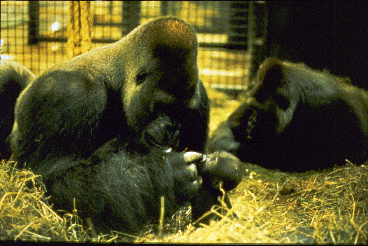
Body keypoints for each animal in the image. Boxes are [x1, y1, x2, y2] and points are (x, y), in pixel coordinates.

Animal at [8, 17, 243, 234]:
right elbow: (52, 182)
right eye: (162, 107)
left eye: (182, 112)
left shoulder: (200, 98)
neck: (116, 78)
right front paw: (165, 174)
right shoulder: (65, 94)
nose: (172, 129)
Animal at [208, 58, 368, 173]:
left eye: (261, 112)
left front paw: (241, 150)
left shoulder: (323, 108)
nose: (250, 123)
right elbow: (227, 126)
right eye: (253, 109)